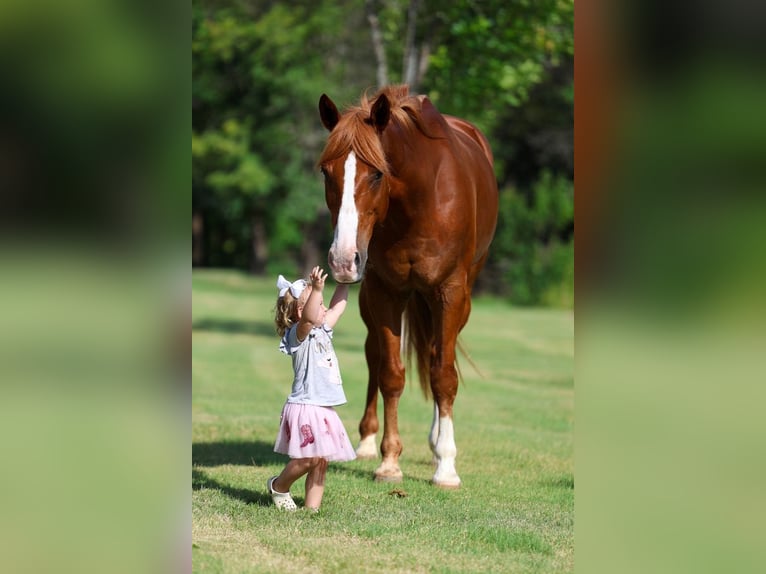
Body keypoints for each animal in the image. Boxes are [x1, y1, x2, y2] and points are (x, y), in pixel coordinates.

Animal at [317, 85, 498, 488]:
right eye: (325, 171)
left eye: (377, 174)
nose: (343, 259)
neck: (418, 201)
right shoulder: (385, 292)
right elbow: (391, 374)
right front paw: (389, 461)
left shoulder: (450, 292)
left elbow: (443, 375)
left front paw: (446, 466)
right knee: (374, 354)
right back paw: (367, 440)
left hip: (457, 300)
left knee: (435, 357)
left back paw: (436, 445)